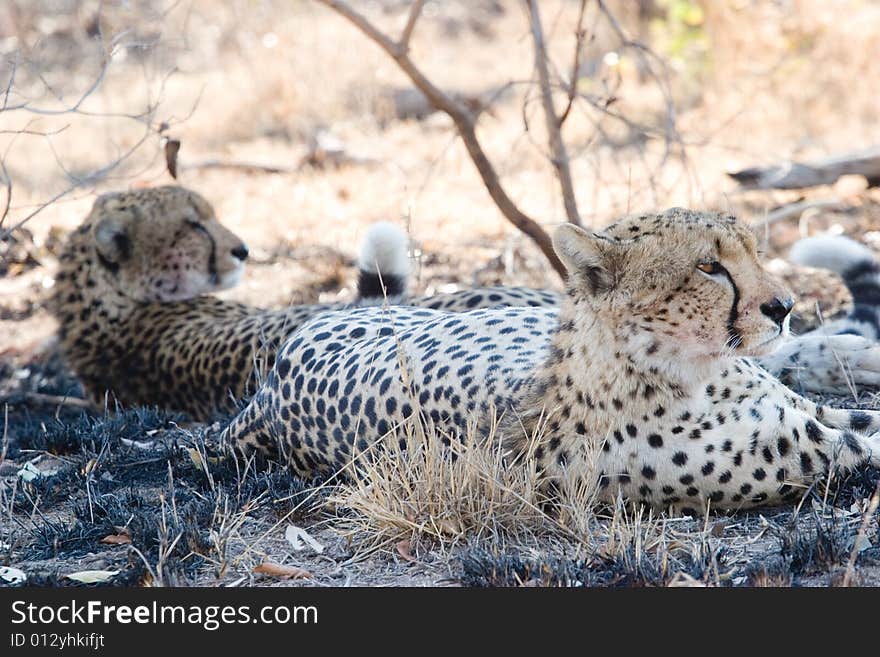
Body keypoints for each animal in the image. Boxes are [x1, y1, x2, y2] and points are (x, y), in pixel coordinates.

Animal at [225, 209, 880, 512]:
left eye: (752, 252)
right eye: (709, 266)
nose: (784, 306)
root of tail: (269, 388)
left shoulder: (814, 416)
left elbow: (860, 417)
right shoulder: (818, 448)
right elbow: (866, 444)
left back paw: (851, 352)